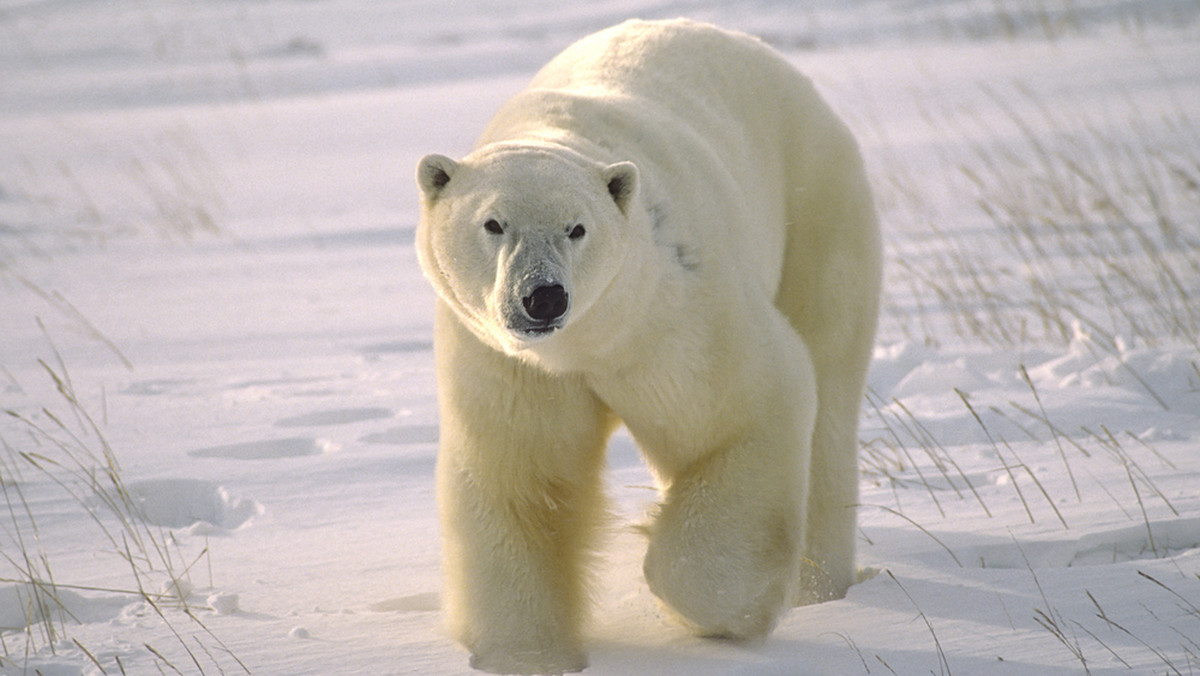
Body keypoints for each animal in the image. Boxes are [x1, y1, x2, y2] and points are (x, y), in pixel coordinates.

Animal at [415, 18, 883, 672]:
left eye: (577, 228)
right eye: (493, 223)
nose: (543, 298)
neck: (586, 343)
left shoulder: (668, 315)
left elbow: (745, 407)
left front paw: (717, 609)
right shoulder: (509, 365)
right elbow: (523, 481)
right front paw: (529, 653)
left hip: (816, 205)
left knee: (830, 383)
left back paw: (821, 585)